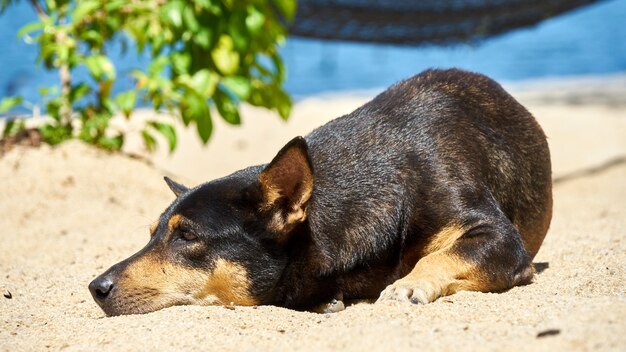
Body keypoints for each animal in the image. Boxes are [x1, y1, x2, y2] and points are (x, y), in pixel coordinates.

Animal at [89, 69, 552, 316]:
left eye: (186, 236)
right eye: (152, 233)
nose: (96, 287)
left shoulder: (498, 238)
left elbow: (441, 255)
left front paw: (407, 284)